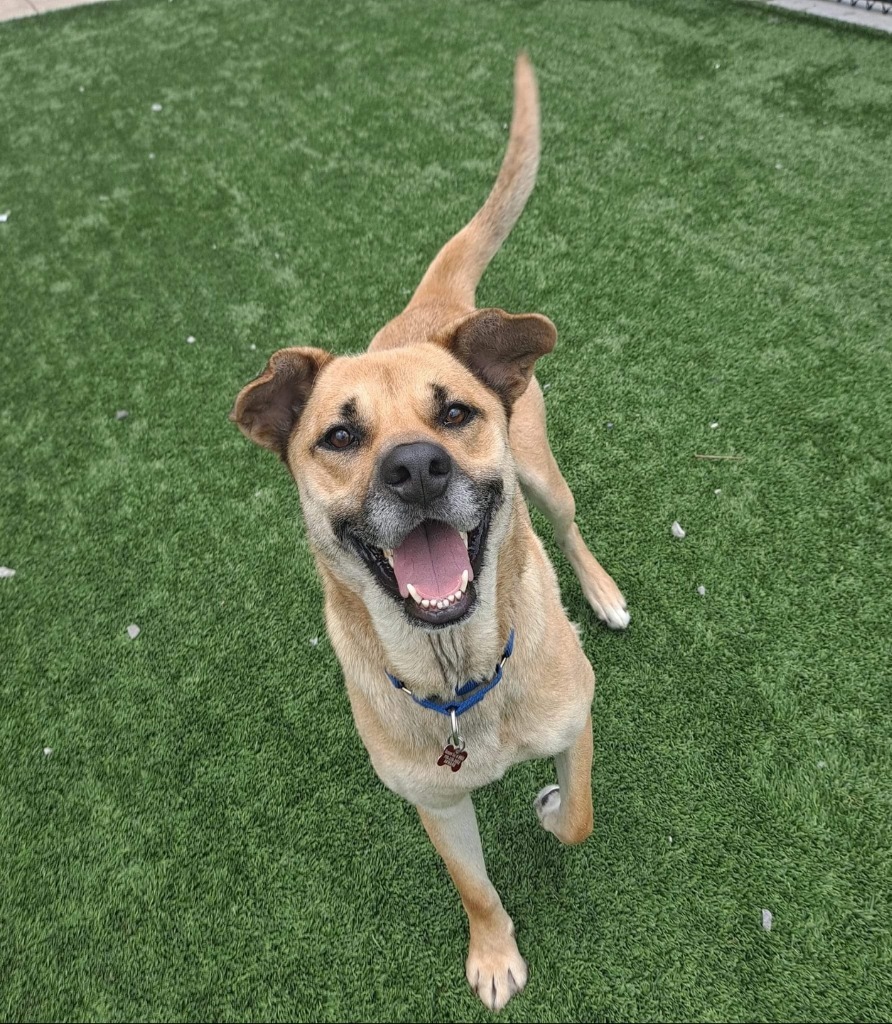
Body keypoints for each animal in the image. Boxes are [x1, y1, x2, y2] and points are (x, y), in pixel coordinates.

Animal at [233, 54, 630, 1007]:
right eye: (339, 437)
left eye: (454, 413)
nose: (415, 468)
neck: (460, 680)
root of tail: (433, 309)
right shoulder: (435, 803)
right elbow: (474, 887)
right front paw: (493, 954)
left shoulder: (577, 725)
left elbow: (580, 818)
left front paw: (551, 807)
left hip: (543, 475)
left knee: (569, 527)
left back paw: (601, 591)